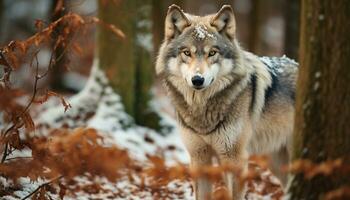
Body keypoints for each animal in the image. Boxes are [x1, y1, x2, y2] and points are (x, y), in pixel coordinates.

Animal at [156, 4, 298, 200]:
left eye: (212, 53)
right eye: (187, 53)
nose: (197, 80)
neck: (202, 112)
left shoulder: (235, 159)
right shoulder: (199, 157)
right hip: (277, 162)